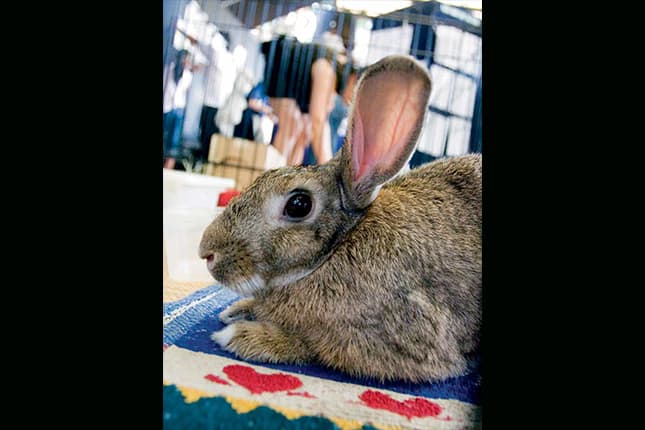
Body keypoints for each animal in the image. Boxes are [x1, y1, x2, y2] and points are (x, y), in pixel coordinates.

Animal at [199, 55, 481, 383]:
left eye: (298, 205)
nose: (206, 252)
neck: (335, 249)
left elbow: (312, 348)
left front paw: (242, 334)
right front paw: (237, 310)